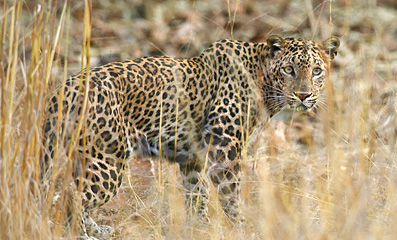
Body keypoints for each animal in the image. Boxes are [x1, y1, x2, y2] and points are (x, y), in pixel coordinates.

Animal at [40, 34, 338, 238]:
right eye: (289, 69)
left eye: (317, 71)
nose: (304, 95)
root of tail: (61, 90)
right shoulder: (224, 147)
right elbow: (231, 195)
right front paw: (243, 228)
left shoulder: (192, 159)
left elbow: (197, 195)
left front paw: (200, 228)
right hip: (108, 159)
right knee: (70, 196)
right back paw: (83, 234)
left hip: (83, 156)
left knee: (70, 193)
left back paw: (96, 229)